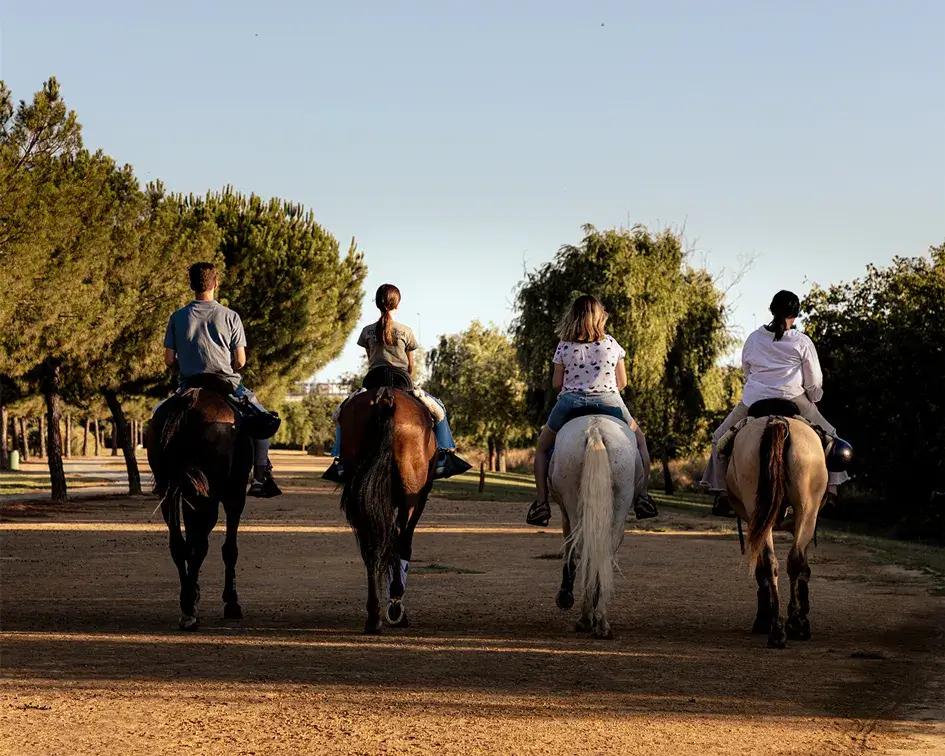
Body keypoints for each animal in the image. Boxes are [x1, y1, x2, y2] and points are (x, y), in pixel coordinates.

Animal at [145, 378, 254, 632]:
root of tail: (189, 402)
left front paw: (194, 593)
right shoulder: (234, 495)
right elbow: (229, 548)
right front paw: (231, 602)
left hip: (172, 489)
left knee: (179, 543)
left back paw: (188, 603)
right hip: (209, 493)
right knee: (200, 545)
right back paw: (189, 608)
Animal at [338, 386, 436, 636]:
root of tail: (386, 396)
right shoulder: (417, 499)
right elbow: (402, 543)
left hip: (361, 496)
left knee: (370, 545)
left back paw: (374, 616)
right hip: (411, 496)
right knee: (400, 541)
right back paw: (395, 604)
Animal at [544, 414, 640, 636]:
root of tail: (596, 428)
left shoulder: (565, 512)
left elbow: (569, 548)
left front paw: (565, 596)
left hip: (572, 499)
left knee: (583, 547)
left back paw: (586, 617)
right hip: (621, 499)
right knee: (606, 549)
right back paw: (601, 619)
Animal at [724, 410, 824, 648]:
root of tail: (778, 421)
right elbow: (803, 568)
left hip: (767, 511)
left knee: (773, 562)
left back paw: (777, 629)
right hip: (805, 511)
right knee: (789, 560)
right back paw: (791, 625)